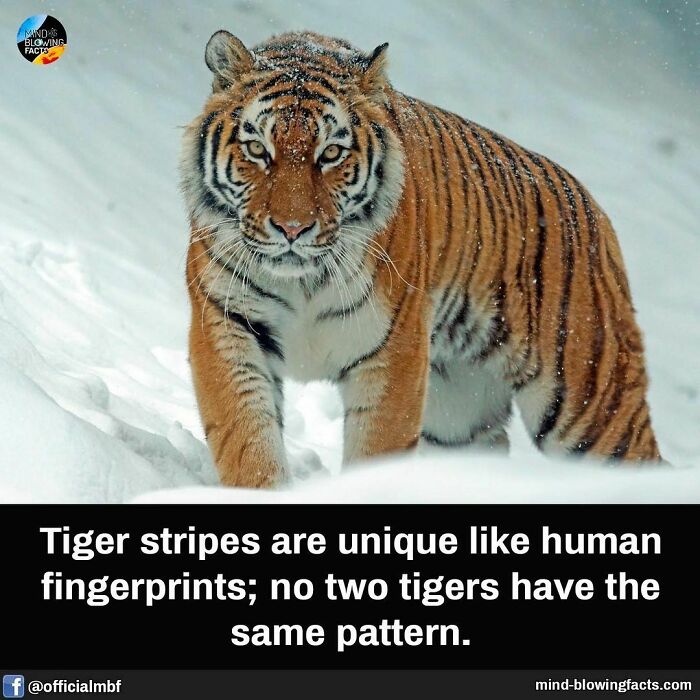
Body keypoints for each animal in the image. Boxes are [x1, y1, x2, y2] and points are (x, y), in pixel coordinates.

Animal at [181, 30, 661, 487]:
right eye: (257, 150)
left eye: (331, 153)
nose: (293, 229)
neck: (303, 281)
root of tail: (595, 211)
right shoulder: (226, 325)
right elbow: (247, 440)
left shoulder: (394, 351)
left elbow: (376, 451)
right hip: (459, 416)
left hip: (591, 404)